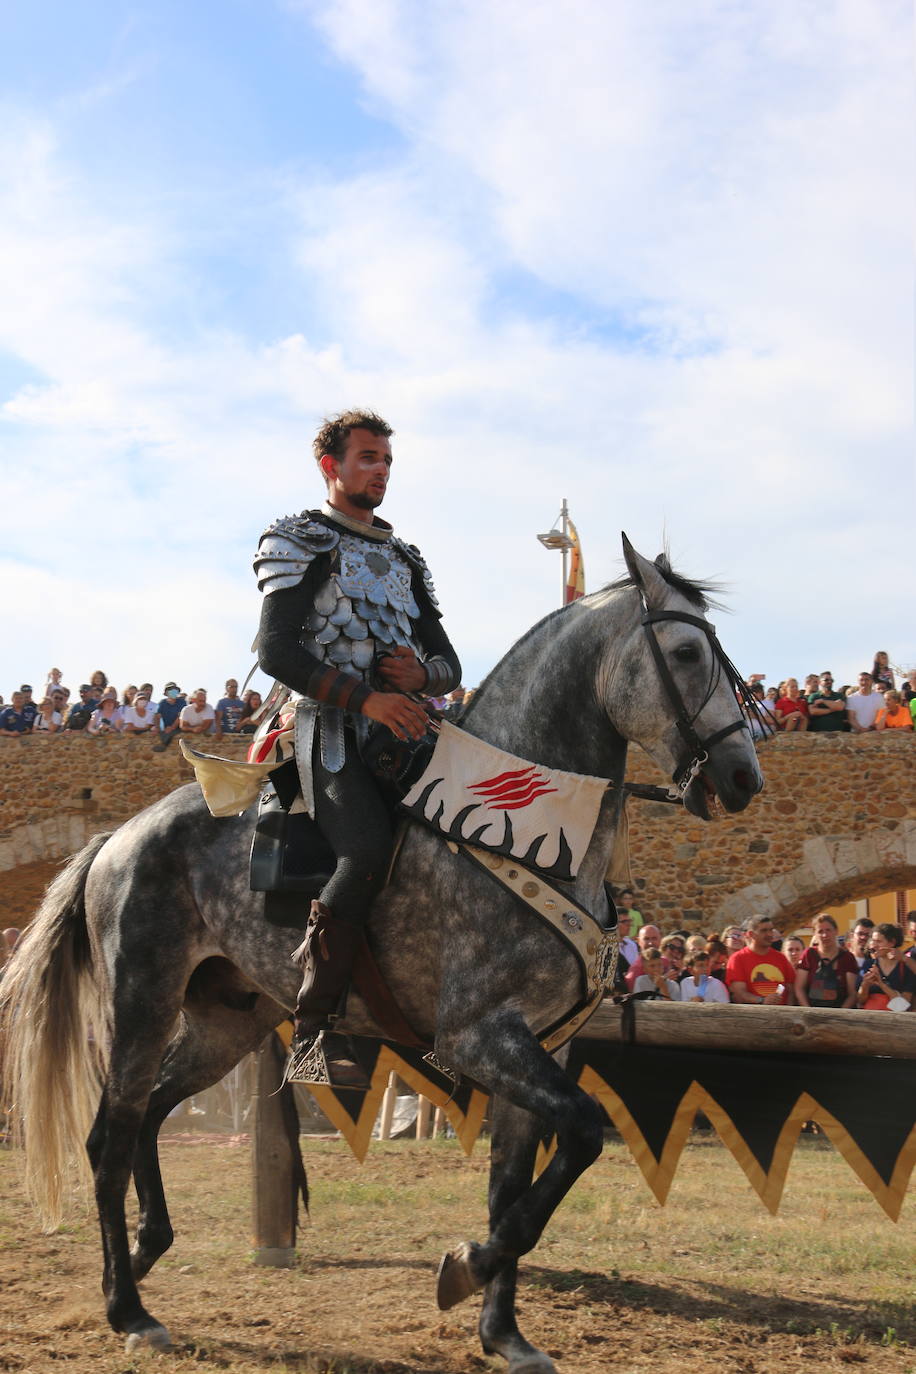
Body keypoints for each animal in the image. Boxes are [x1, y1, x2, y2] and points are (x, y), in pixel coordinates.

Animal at [1, 538, 769, 1374]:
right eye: (688, 652)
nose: (743, 777)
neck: (527, 832)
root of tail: (116, 837)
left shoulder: (545, 1049)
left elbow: (521, 1180)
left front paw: (503, 1330)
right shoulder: (478, 1038)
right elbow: (585, 1136)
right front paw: (466, 1266)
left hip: (224, 1025)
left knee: (147, 1116)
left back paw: (144, 1254)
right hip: (142, 1000)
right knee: (110, 1135)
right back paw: (127, 1307)